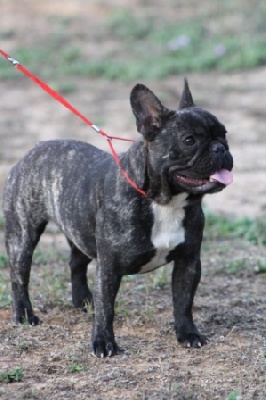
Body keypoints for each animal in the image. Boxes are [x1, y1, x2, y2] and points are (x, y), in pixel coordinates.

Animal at [3, 79, 233, 358]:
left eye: (224, 133)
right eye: (189, 140)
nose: (221, 148)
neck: (164, 202)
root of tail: (33, 149)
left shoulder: (188, 261)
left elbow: (183, 300)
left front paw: (188, 334)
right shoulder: (109, 266)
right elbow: (107, 307)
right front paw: (103, 342)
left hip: (80, 228)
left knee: (76, 262)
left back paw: (83, 301)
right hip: (22, 235)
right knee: (19, 275)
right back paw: (25, 314)